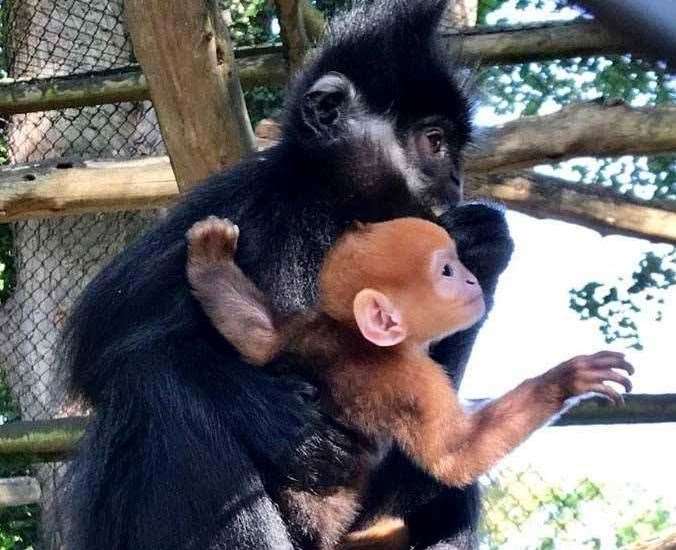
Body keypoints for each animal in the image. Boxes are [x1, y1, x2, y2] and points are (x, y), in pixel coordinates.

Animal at [185, 216, 632, 550]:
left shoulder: (308, 329)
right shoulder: (412, 379)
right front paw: (567, 379)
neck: (354, 337)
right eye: (447, 270)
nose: (472, 281)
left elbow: (257, 334)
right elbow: (456, 455)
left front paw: (210, 252)